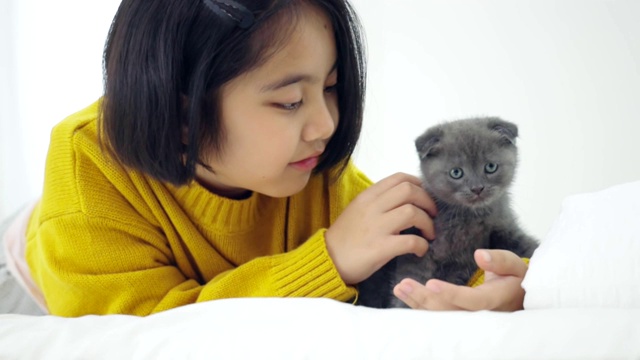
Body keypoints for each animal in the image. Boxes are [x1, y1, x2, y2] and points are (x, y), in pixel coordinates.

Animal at [358, 116, 536, 308]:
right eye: (456, 172)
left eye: (490, 167)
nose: (477, 188)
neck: (469, 217)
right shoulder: (418, 250)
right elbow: (411, 277)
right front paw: (403, 307)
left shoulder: (481, 245)